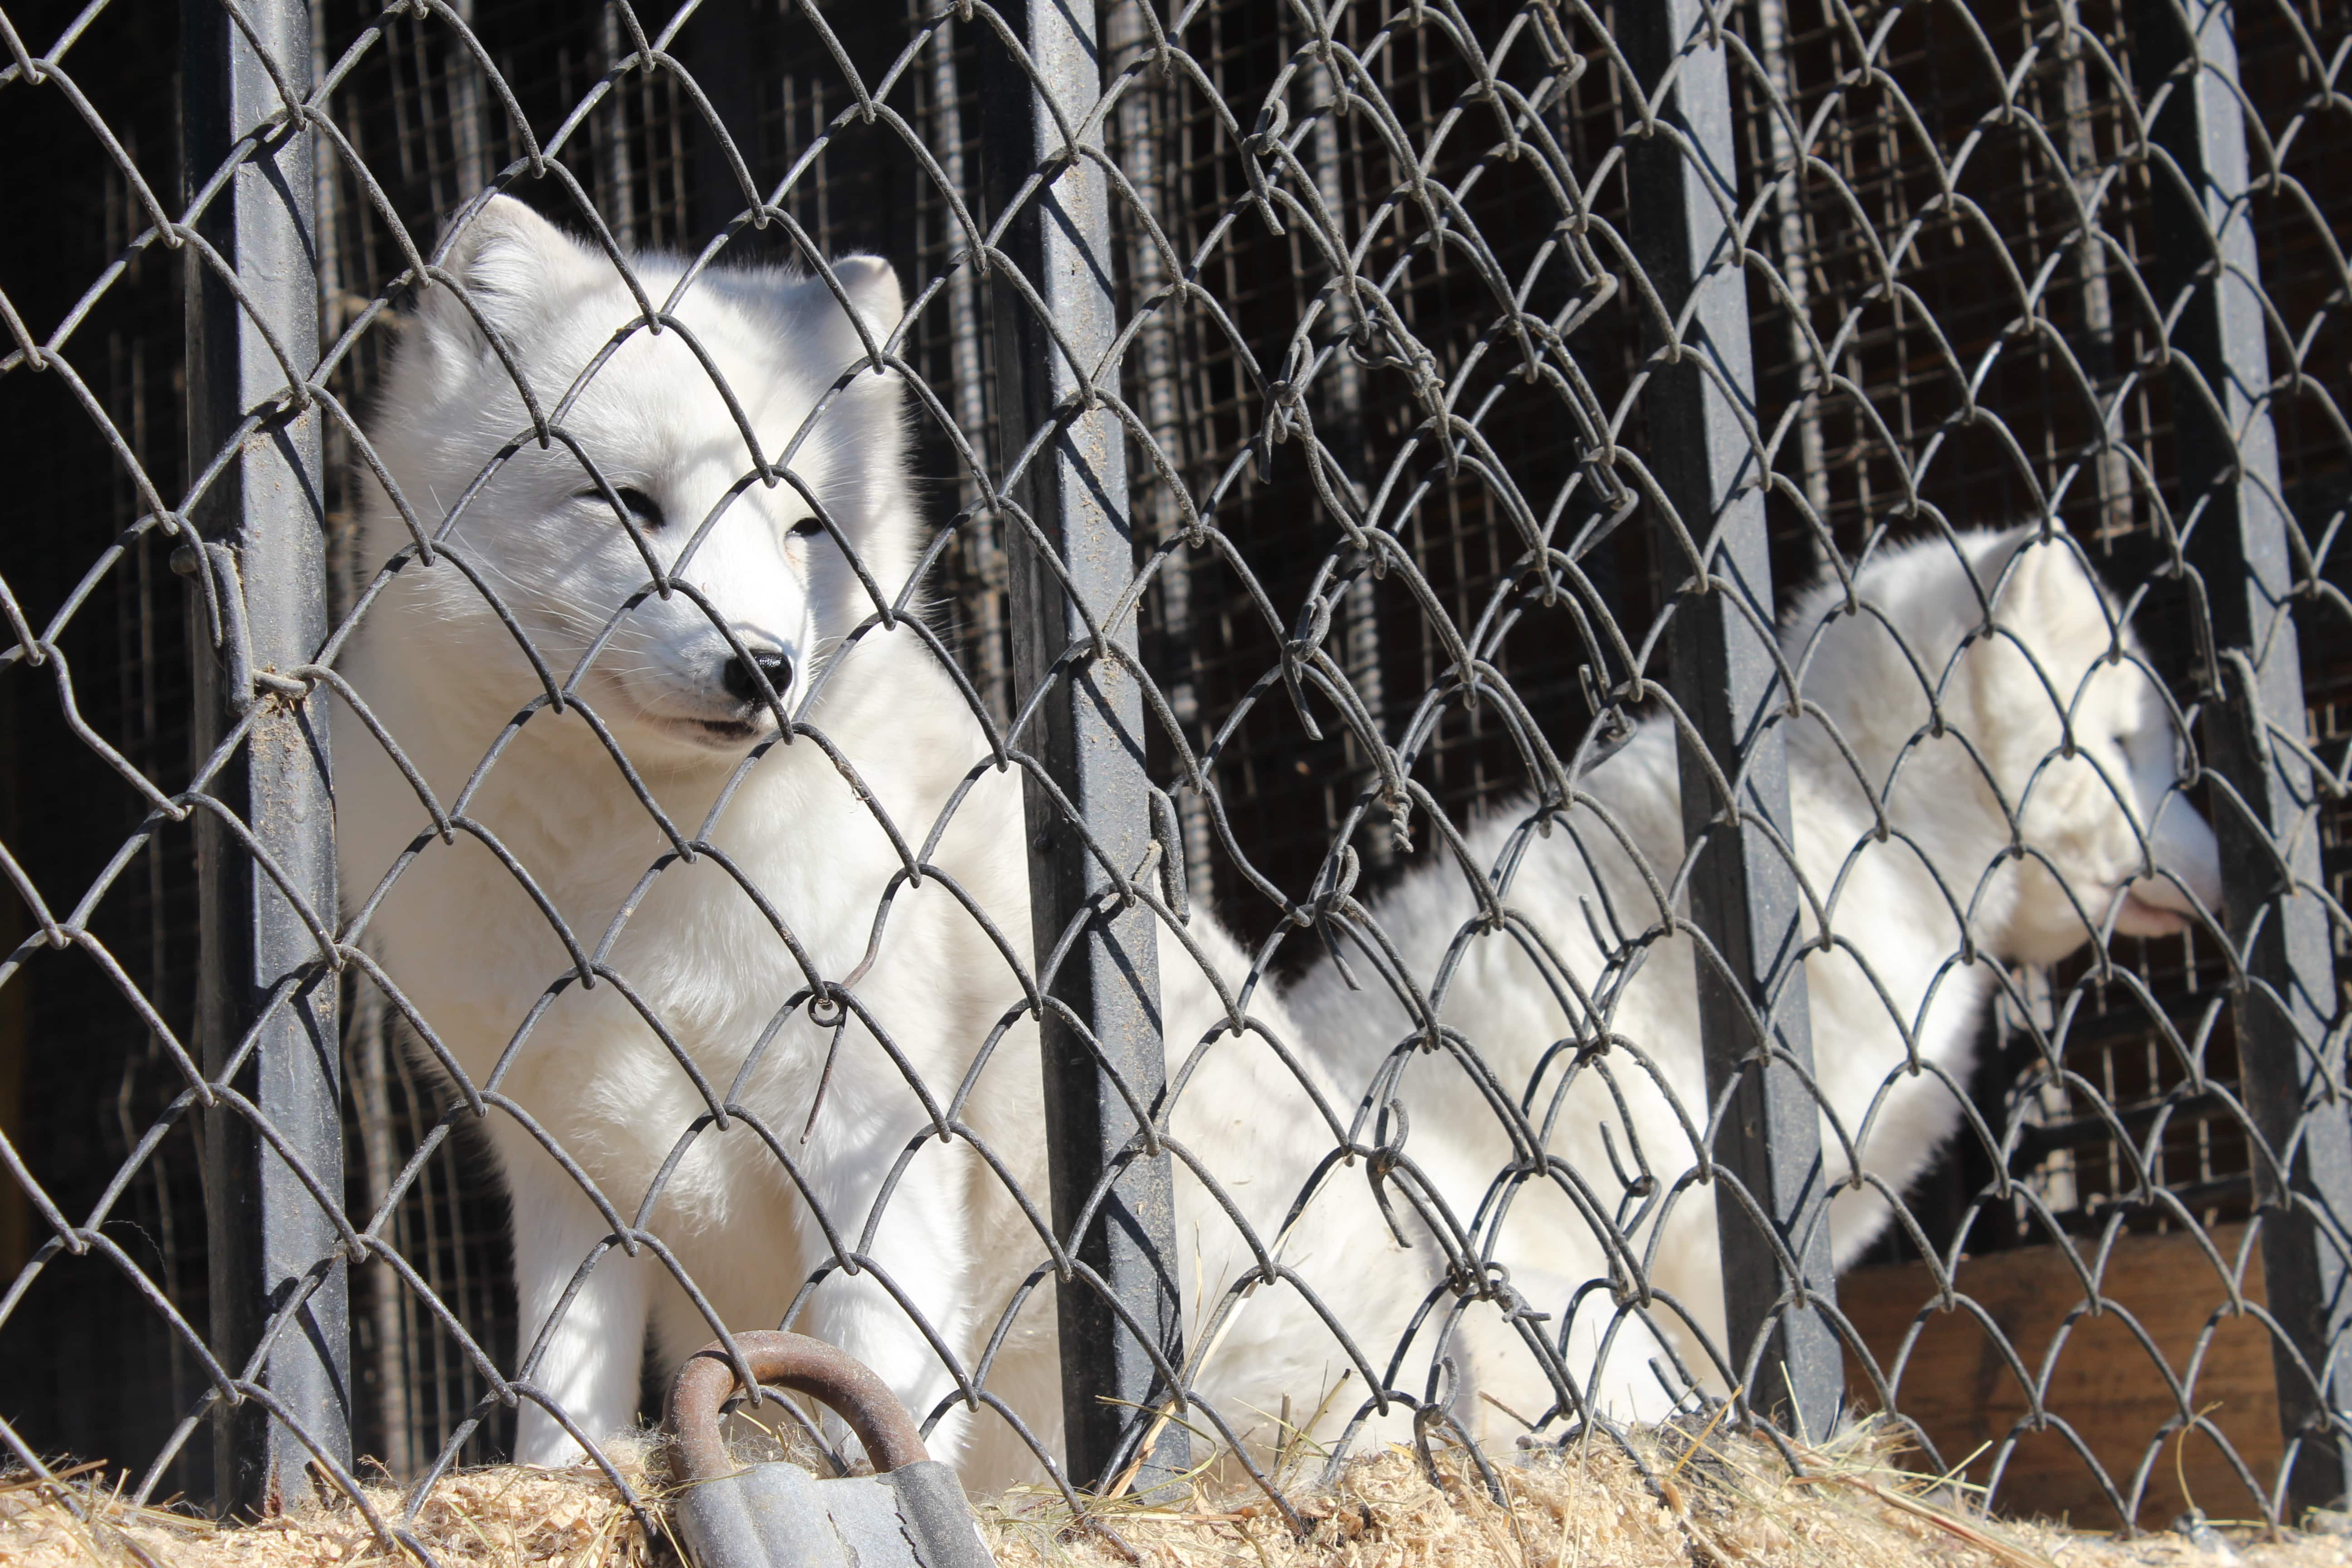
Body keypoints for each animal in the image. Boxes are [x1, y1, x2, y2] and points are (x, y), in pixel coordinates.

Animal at [327, 200, 1449, 1495]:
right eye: (628, 503)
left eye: (804, 523)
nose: (762, 665)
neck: (639, 868)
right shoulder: (565, 1162)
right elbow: (561, 1394)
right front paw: (566, 1481)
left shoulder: (870, 1109)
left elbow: (872, 1346)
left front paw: (872, 1477)